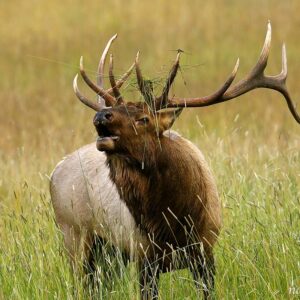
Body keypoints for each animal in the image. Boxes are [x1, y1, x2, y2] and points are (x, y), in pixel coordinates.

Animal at [50, 21, 298, 300]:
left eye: (144, 119)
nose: (101, 115)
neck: (175, 221)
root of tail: (55, 172)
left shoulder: (205, 250)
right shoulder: (144, 256)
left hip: (108, 254)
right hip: (75, 236)